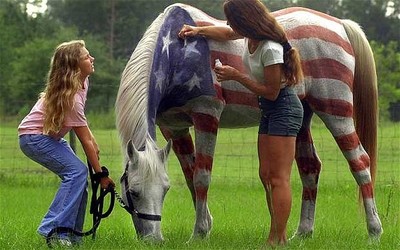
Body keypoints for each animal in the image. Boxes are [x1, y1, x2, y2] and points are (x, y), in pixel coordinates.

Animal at [115, 3, 382, 242]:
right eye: (133, 192)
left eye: (165, 190)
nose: (153, 240)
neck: (177, 53)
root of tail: (340, 25)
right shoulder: (174, 127)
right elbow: (190, 176)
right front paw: (206, 225)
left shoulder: (206, 114)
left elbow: (201, 176)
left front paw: (199, 233)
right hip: (302, 117)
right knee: (310, 168)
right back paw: (302, 233)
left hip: (335, 108)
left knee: (360, 162)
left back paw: (374, 231)